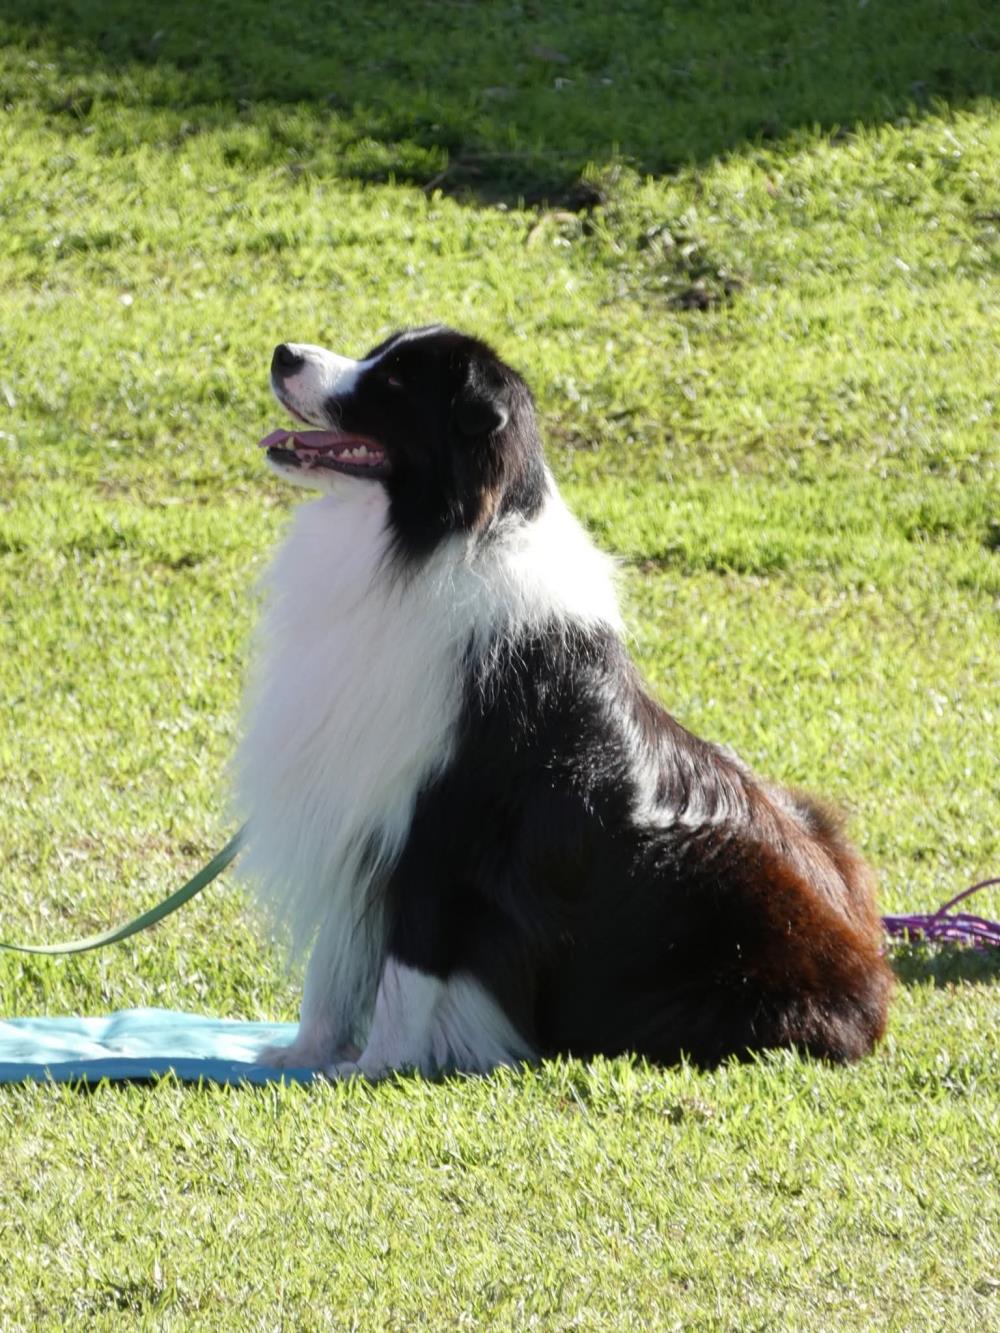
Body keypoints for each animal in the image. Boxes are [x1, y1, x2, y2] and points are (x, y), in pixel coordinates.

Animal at [237, 325, 892, 1079]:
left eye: (396, 379)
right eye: (380, 349)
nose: (284, 353)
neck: (430, 542)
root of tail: (875, 981)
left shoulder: (441, 829)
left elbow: (407, 968)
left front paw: (371, 1069)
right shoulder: (356, 810)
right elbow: (331, 965)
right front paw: (299, 1054)